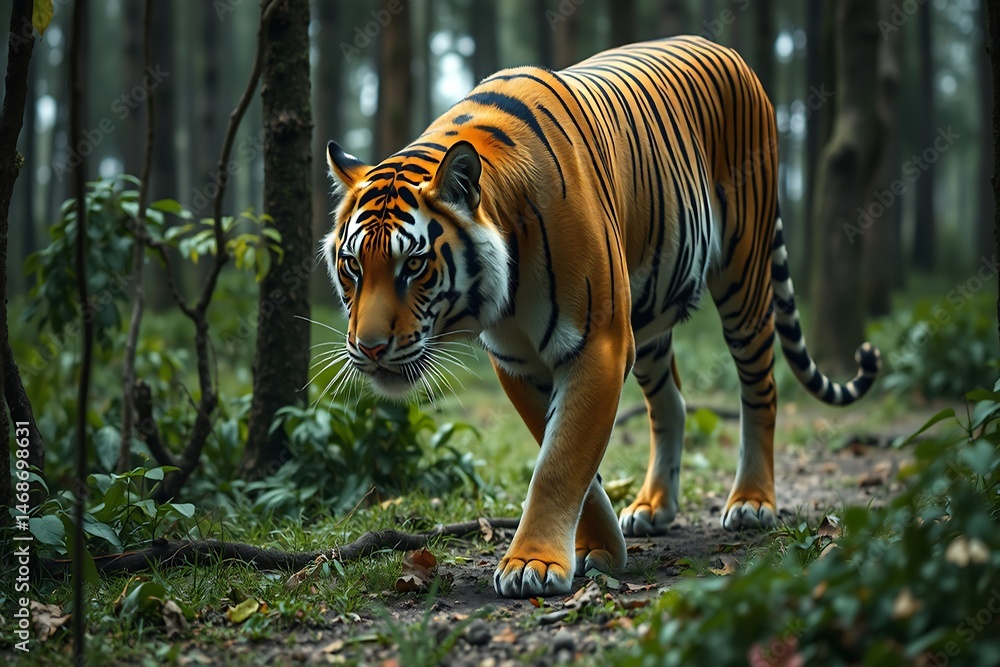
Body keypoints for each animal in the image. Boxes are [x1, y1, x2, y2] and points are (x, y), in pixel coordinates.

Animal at [322, 36, 880, 599]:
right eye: (352, 266)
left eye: (413, 265)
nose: (369, 348)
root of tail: (726, 49)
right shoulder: (518, 360)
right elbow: (567, 454)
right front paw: (599, 548)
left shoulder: (599, 344)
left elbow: (560, 459)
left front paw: (533, 562)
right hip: (649, 313)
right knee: (671, 404)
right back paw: (653, 506)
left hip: (744, 274)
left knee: (760, 388)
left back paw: (751, 502)